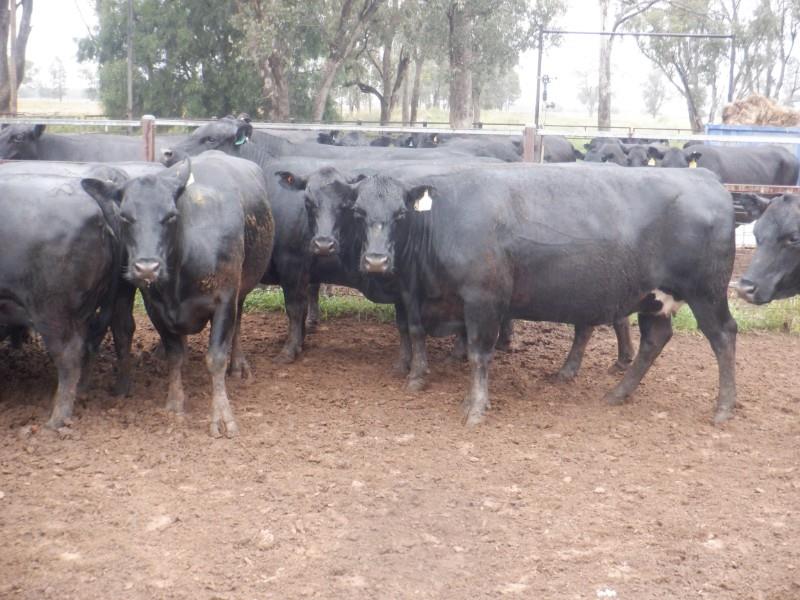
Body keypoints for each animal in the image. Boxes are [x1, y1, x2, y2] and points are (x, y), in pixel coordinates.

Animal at [81, 151, 274, 437]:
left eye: (171, 215)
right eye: (125, 216)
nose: (147, 267)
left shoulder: (225, 300)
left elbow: (215, 358)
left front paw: (222, 417)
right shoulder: (156, 308)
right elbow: (176, 354)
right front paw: (174, 402)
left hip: (242, 288)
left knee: (237, 326)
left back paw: (238, 364)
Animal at [320, 164, 737, 426]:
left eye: (400, 214)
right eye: (358, 212)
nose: (376, 260)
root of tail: (705, 177)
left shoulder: (483, 299)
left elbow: (479, 354)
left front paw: (475, 406)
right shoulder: (418, 297)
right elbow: (416, 331)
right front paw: (418, 378)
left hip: (708, 293)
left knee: (723, 336)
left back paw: (723, 407)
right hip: (655, 300)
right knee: (655, 339)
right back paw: (618, 393)